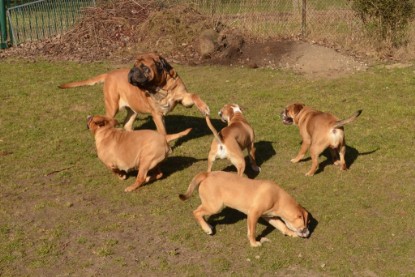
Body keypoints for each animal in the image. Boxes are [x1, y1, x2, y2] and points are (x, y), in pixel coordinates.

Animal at [59, 52, 211, 134]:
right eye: (134, 65)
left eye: (144, 67)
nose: (132, 71)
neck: (162, 86)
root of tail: (108, 74)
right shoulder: (157, 114)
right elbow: (162, 131)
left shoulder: (183, 99)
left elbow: (194, 95)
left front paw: (203, 107)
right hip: (112, 107)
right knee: (105, 118)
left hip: (133, 111)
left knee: (127, 125)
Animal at [180, 170, 310, 246]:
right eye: (307, 222)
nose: (308, 233)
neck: (278, 198)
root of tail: (207, 174)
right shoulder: (253, 214)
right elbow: (252, 231)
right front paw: (254, 243)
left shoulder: (269, 217)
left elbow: (282, 226)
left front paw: (291, 233)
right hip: (215, 206)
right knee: (196, 212)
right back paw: (207, 228)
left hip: (209, 203)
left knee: (199, 211)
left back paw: (208, 226)